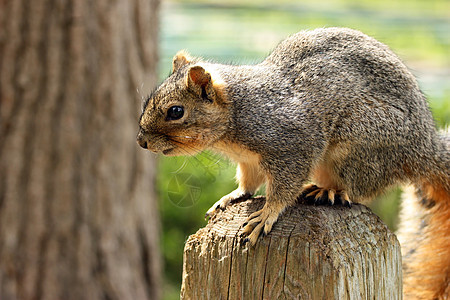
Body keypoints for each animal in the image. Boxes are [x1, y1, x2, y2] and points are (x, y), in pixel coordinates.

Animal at [137, 27, 450, 298]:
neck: (237, 114)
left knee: (359, 190)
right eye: (148, 101)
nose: (141, 141)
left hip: (361, 143)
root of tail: (425, 148)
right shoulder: (248, 161)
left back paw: (329, 190)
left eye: (176, 111)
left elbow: (283, 187)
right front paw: (232, 197)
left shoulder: (292, 145)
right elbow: (248, 183)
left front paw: (266, 214)